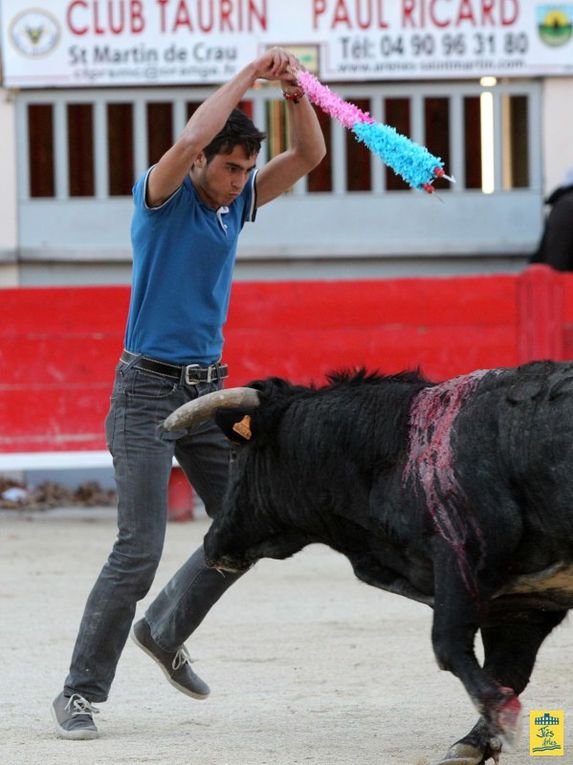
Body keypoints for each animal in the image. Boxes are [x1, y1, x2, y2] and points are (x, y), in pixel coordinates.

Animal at [161, 360, 572, 764]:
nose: (212, 544)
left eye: (234, 454)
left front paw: (498, 716)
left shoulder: (462, 555)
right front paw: (474, 741)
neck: (397, 449)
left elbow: (449, 644)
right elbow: (507, 667)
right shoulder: (524, 605)